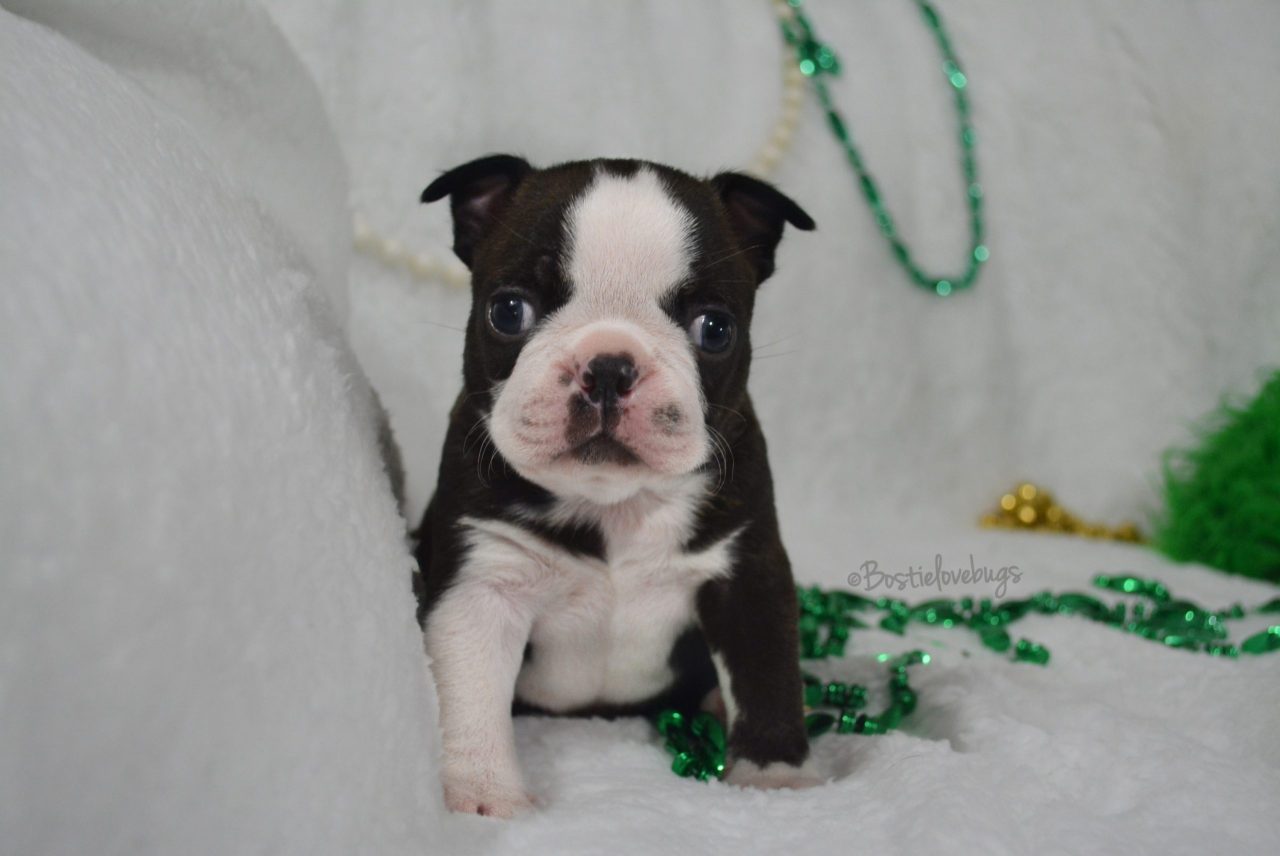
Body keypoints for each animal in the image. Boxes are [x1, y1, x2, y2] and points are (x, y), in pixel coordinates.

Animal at [413, 155, 817, 816]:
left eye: (715, 328)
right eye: (508, 311)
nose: (607, 366)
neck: (614, 503)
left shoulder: (748, 573)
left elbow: (767, 674)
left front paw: (775, 780)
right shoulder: (484, 585)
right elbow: (471, 695)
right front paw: (485, 796)